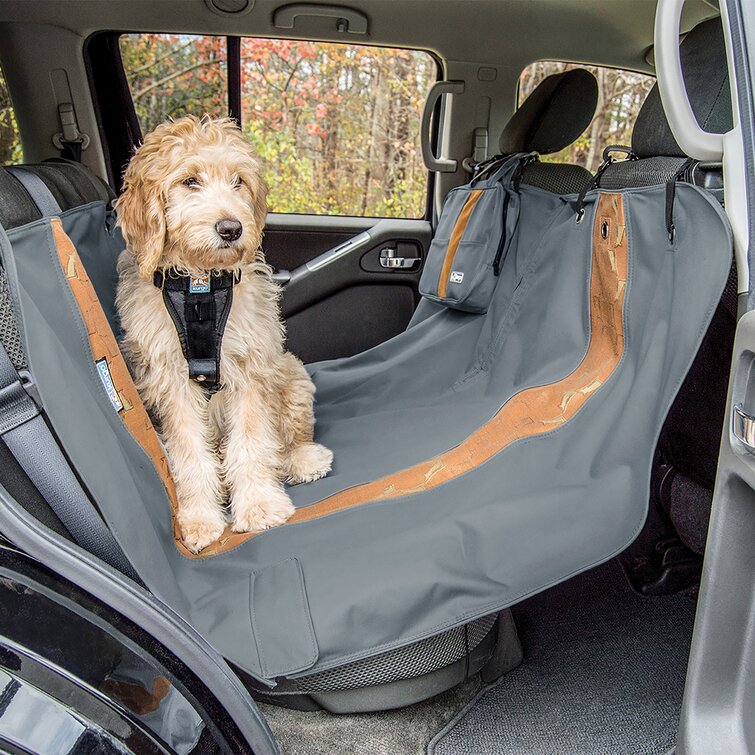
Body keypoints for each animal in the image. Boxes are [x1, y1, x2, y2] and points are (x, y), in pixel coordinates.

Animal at [116, 116, 334, 556]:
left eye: (238, 181)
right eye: (189, 181)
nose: (231, 228)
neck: (199, 285)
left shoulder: (251, 365)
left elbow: (251, 442)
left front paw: (260, 506)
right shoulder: (170, 380)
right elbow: (189, 453)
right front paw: (200, 519)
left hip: (292, 375)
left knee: (285, 441)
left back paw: (303, 460)